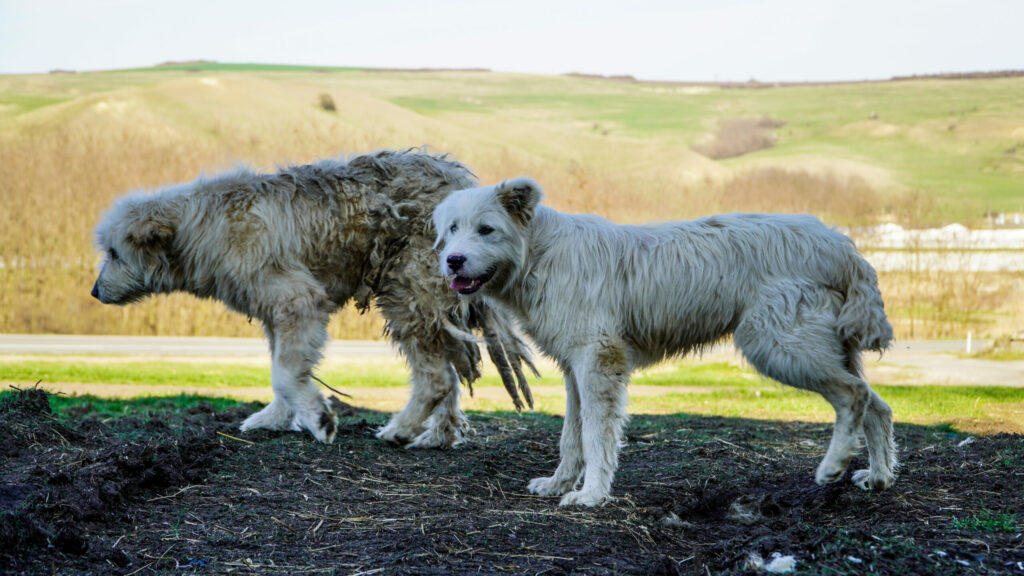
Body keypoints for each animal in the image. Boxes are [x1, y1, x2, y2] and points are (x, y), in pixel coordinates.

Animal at [92, 150, 536, 446]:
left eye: (114, 253)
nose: (95, 292)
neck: (203, 226)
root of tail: (464, 182)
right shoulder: (276, 311)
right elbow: (282, 368)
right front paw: (275, 418)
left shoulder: (297, 299)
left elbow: (286, 372)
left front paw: (319, 419)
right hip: (433, 302)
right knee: (452, 368)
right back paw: (438, 435)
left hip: (408, 291)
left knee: (436, 378)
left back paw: (400, 429)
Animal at [432, 177, 897, 504]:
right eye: (452, 228)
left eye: (486, 229)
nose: (452, 260)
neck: (540, 254)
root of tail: (839, 243)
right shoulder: (574, 368)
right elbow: (572, 434)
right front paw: (559, 483)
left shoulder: (599, 362)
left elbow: (596, 435)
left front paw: (591, 495)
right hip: (827, 349)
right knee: (878, 404)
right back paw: (879, 476)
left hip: (779, 346)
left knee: (854, 396)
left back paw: (833, 466)